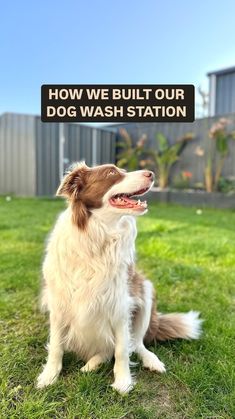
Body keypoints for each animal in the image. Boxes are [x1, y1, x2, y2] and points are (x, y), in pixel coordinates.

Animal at [36, 163, 202, 394]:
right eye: (111, 173)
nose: (151, 173)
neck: (97, 237)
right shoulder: (59, 305)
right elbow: (56, 346)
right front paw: (49, 376)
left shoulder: (120, 305)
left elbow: (122, 349)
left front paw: (123, 381)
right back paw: (91, 364)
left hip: (145, 292)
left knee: (136, 343)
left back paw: (150, 361)